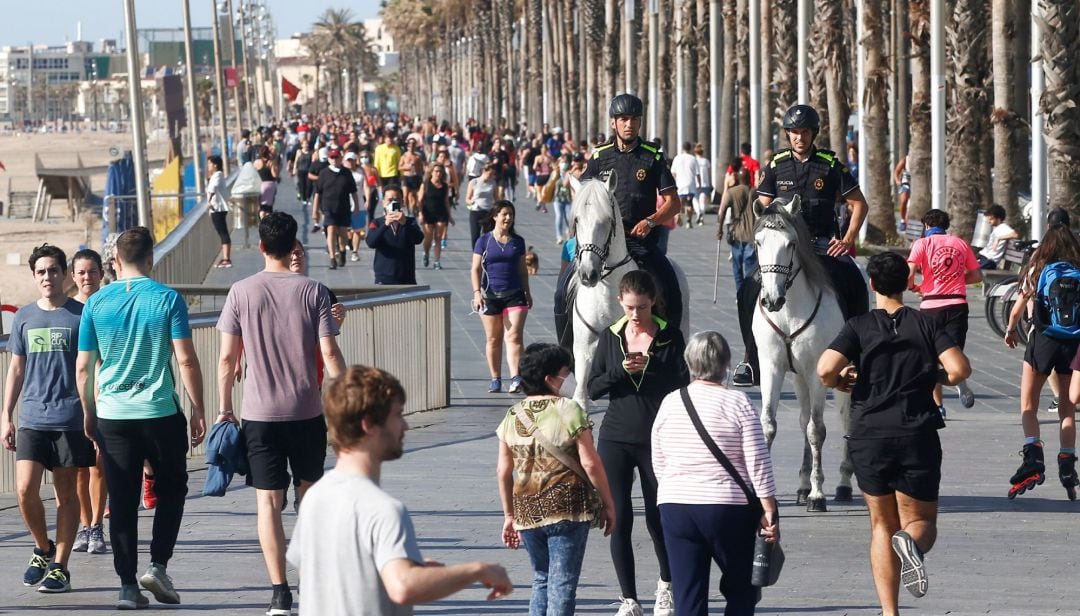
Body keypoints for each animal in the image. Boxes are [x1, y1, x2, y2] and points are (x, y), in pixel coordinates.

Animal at [751, 194, 851, 510]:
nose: (772, 299)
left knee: (844, 419)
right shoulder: (771, 368)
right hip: (798, 378)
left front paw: (819, 494)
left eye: (790, 244)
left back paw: (842, 483)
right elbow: (769, 425)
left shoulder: (818, 372)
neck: (789, 310)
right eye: (758, 242)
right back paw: (803, 485)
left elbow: (816, 429)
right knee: (803, 416)